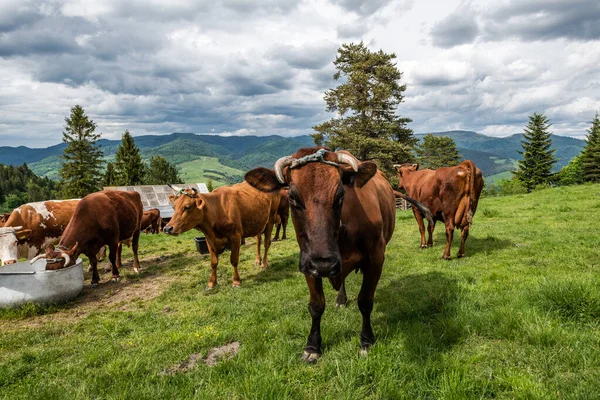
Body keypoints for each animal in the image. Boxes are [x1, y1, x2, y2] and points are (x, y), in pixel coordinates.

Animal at [246, 148, 434, 362]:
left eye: (341, 195)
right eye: (292, 197)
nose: (324, 264)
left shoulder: (376, 258)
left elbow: (365, 301)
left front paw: (366, 341)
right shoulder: (308, 263)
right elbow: (316, 305)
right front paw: (312, 346)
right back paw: (341, 299)